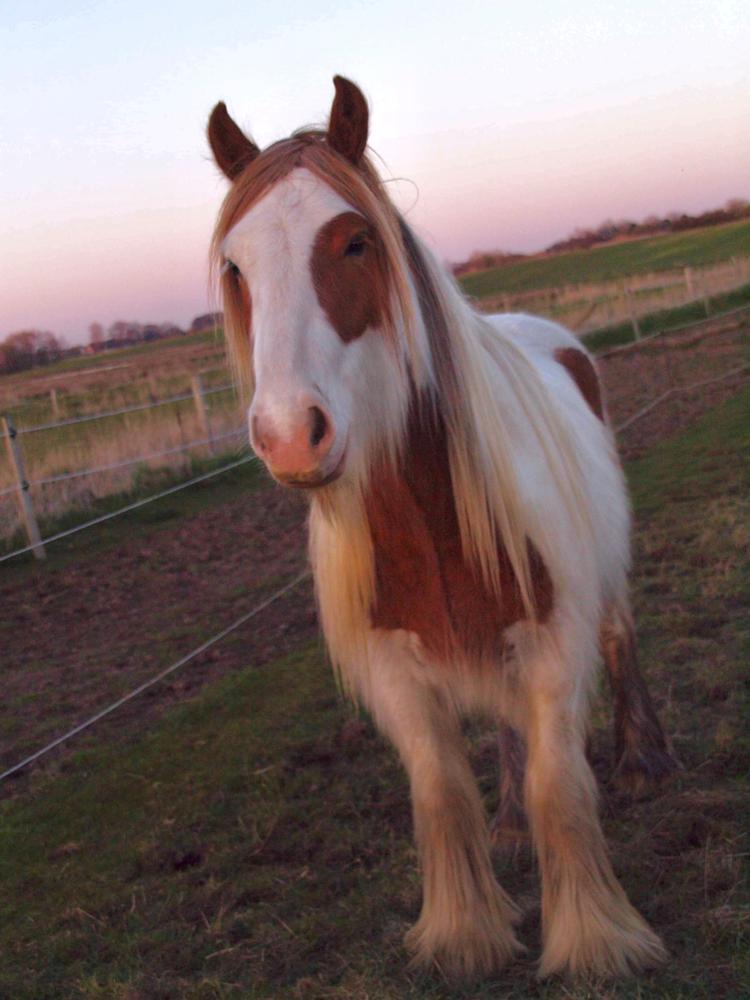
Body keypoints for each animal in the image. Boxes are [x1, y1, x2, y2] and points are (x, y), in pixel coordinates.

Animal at [209, 74, 680, 980]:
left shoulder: (554, 642)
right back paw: (510, 824)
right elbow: (440, 791)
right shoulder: (397, 669)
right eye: (236, 266)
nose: (289, 434)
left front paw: (593, 940)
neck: (426, 517)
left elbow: (560, 785)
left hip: (598, 592)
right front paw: (465, 933)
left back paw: (645, 764)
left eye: (355, 242)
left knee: (621, 637)